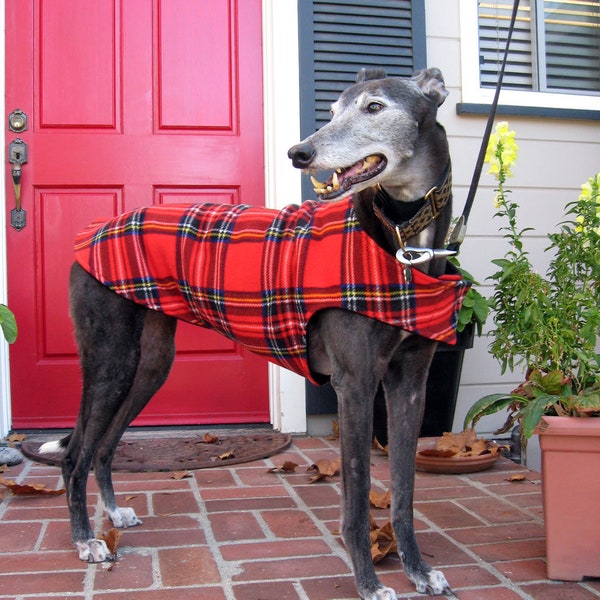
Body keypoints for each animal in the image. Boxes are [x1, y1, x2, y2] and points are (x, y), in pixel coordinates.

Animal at [43, 68, 464, 596]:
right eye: (331, 110)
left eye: (374, 107)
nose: (299, 153)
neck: (401, 243)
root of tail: (92, 232)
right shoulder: (355, 384)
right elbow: (358, 493)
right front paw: (368, 582)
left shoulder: (410, 384)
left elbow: (405, 492)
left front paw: (419, 571)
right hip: (110, 361)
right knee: (74, 454)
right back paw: (85, 540)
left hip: (150, 365)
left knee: (103, 445)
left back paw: (114, 514)